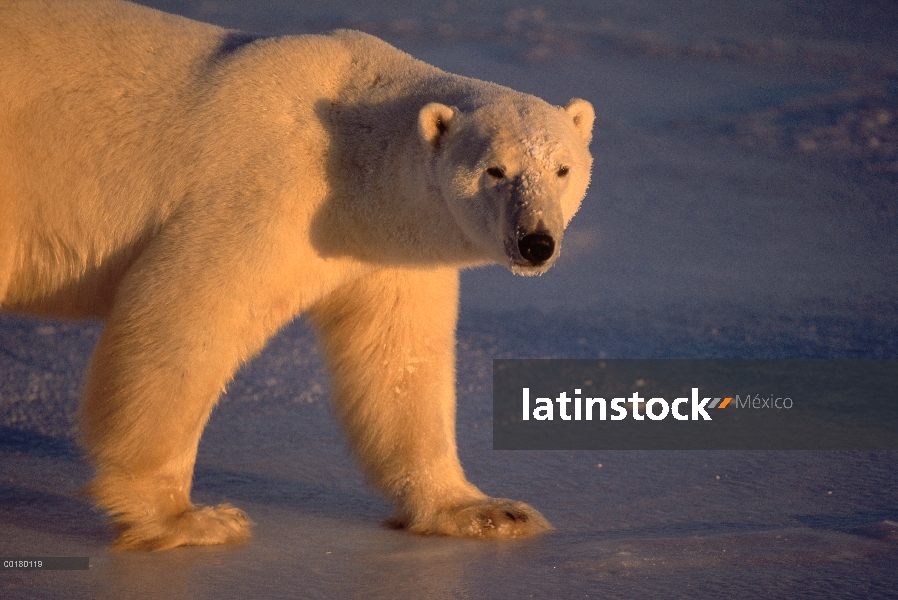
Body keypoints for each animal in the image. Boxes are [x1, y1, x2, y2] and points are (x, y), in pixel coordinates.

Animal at [0, 0, 592, 552]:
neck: (350, 148)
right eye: (495, 171)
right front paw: (188, 518)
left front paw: (486, 510)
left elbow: (397, 358)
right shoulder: (264, 191)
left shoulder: (384, 248)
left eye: (562, 168)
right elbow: (187, 312)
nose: (536, 242)